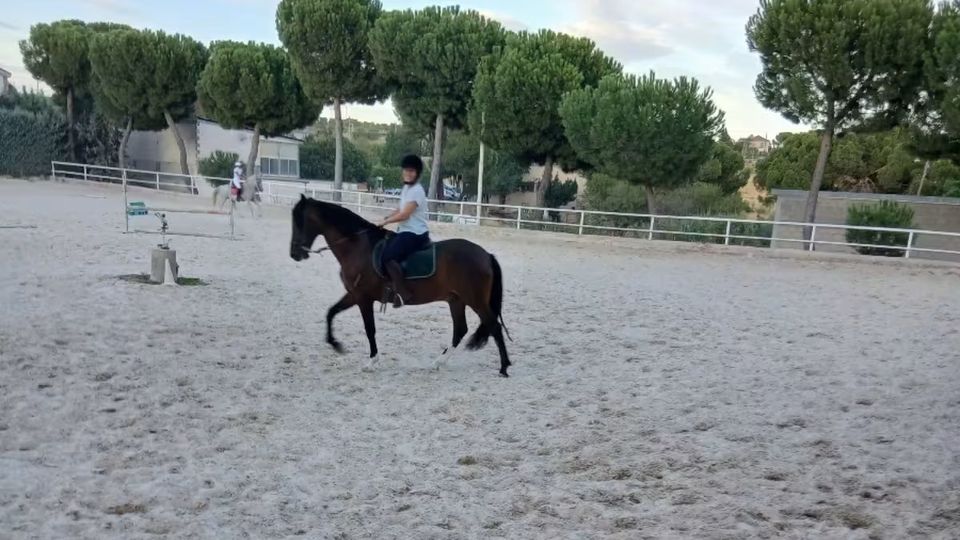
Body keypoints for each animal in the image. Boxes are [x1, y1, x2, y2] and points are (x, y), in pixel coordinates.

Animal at [289, 194, 513, 377]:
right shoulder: (354, 295)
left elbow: (369, 329)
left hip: (475, 300)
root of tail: (486, 255)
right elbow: (331, 312)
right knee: (461, 330)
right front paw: (335, 344)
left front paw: (372, 361)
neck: (357, 248)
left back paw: (504, 367)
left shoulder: (363, 298)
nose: (294, 254)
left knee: (493, 326)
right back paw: (438, 362)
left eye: (299, 222)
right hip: (456, 300)